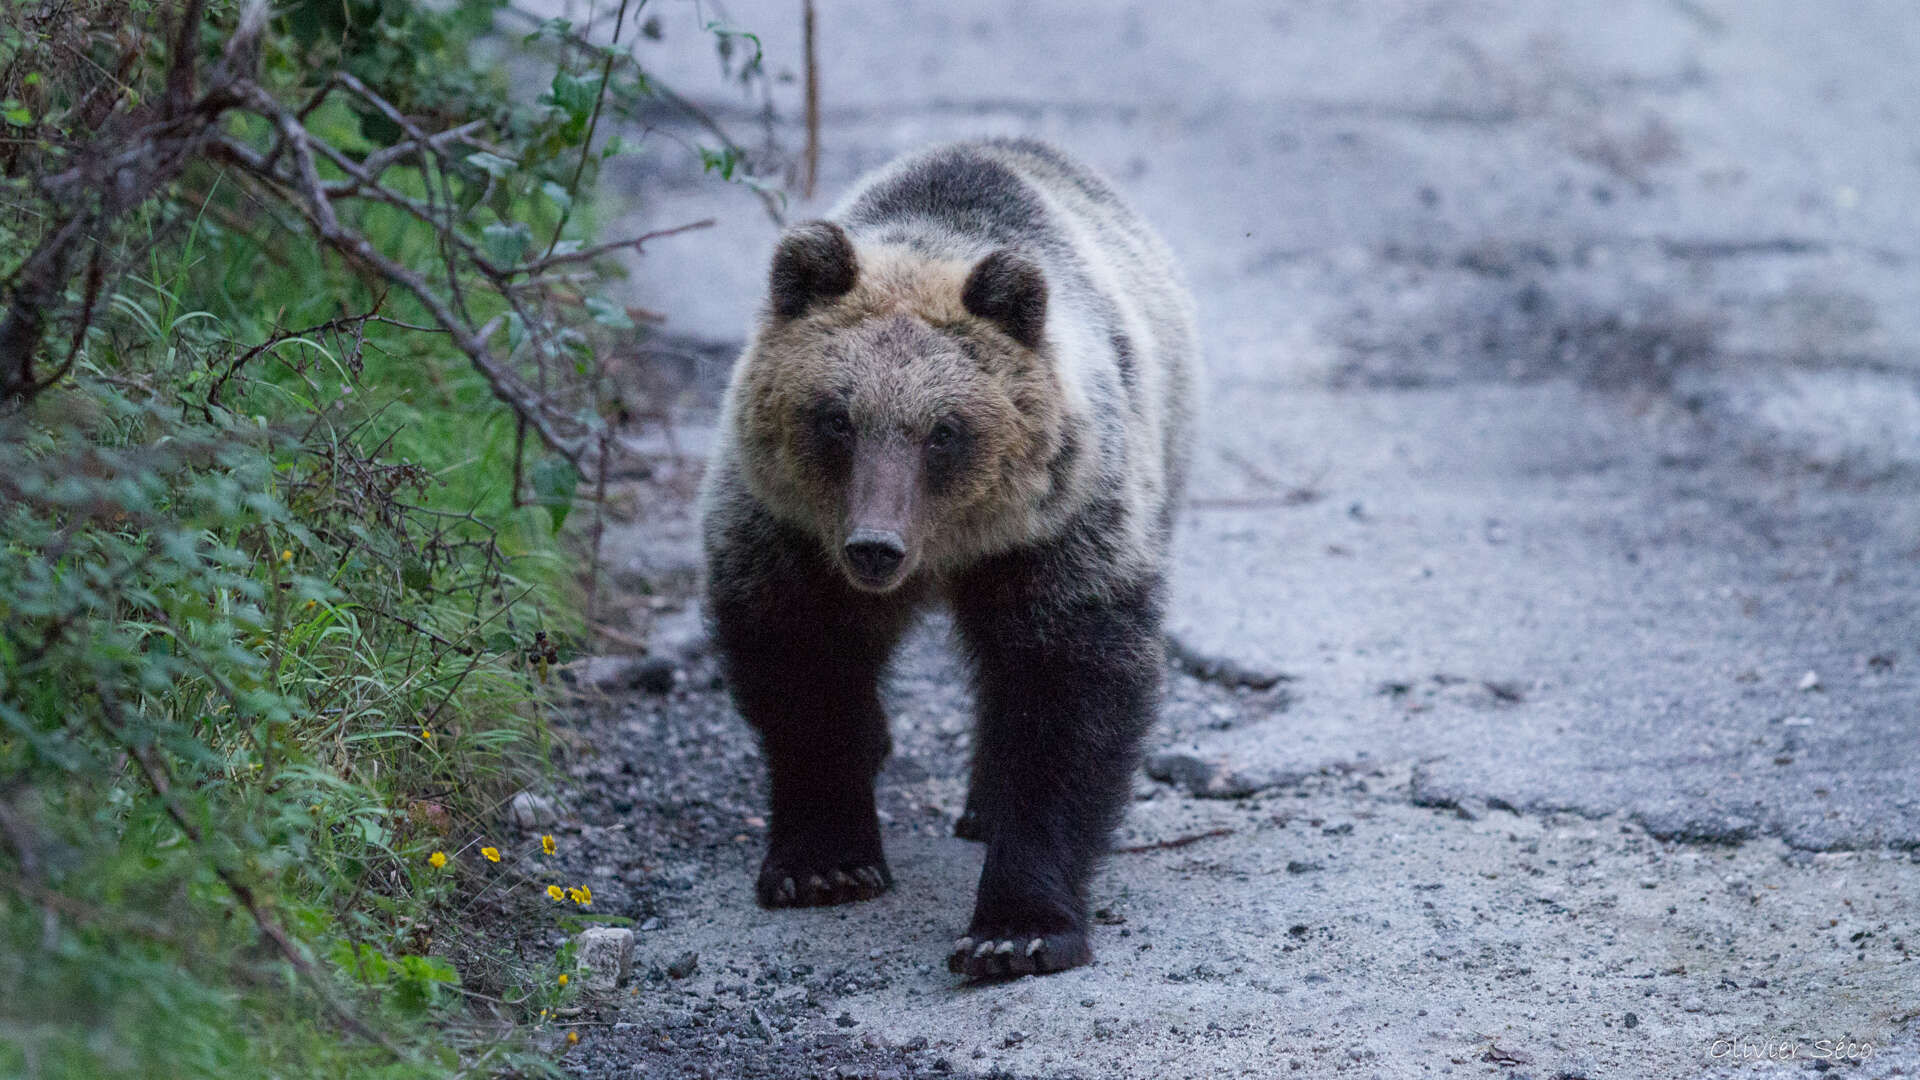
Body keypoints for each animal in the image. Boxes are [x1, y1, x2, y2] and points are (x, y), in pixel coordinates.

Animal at [698, 136, 1190, 976]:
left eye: (945, 430)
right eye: (836, 417)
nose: (874, 546)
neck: (947, 549)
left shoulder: (1059, 531)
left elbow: (1068, 695)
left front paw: (1015, 929)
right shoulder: (787, 536)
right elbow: (802, 675)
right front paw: (825, 863)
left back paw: (983, 807)